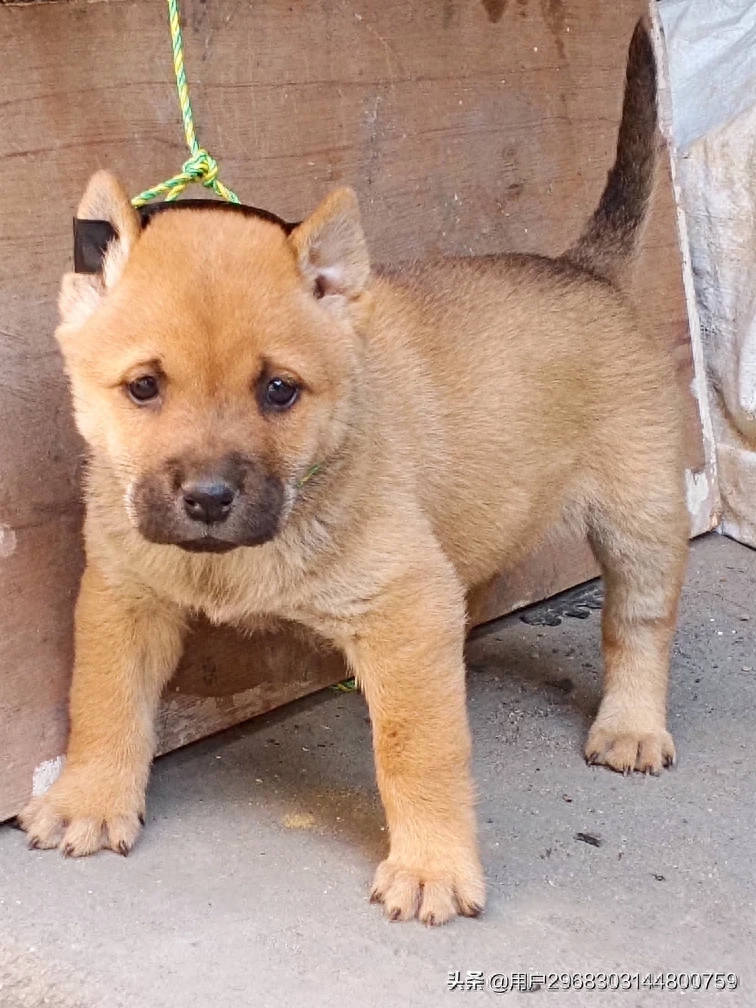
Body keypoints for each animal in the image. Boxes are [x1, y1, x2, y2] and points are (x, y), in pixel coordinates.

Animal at [23, 19, 689, 923]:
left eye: (279, 389)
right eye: (143, 387)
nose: (208, 500)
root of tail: (583, 267)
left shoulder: (405, 607)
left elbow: (417, 749)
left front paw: (433, 863)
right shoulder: (124, 597)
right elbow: (104, 702)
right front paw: (90, 799)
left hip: (640, 517)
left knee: (638, 624)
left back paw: (632, 726)